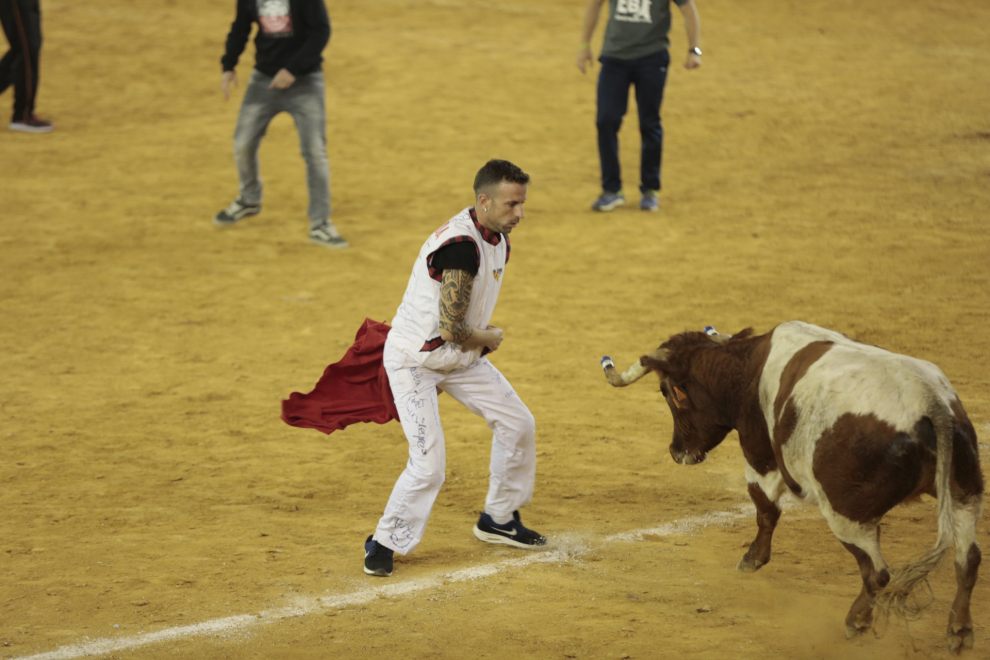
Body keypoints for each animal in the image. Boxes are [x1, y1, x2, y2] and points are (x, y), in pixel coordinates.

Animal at [604, 322, 984, 652]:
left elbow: (765, 508)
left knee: (877, 573)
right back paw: (959, 631)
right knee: (967, 559)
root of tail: (931, 404)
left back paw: (857, 620)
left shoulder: (760, 457)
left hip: (846, 513)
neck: (746, 370)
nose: (677, 451)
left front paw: (752, 559)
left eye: (667, 393)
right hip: (964, 495)